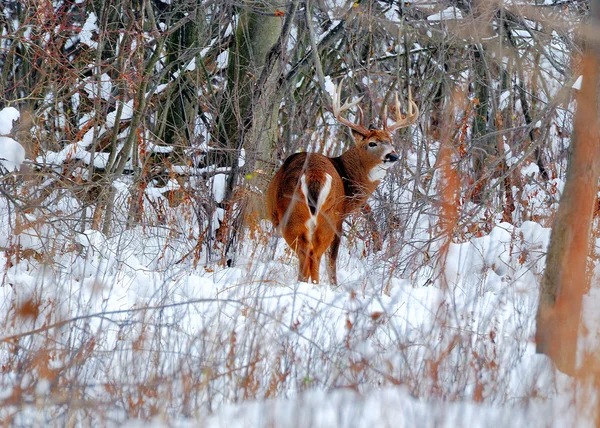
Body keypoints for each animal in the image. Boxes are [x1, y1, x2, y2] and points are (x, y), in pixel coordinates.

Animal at [266, 82, 418, 286]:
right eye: (372, 143)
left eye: (390, 141)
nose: (393, 155)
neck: (347, 175)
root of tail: (314, 175)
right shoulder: (340, 218)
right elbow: (332, 258)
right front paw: (334, 285)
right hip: (324, 215)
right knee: (314, 253)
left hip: (300, 213)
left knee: (309, 252)